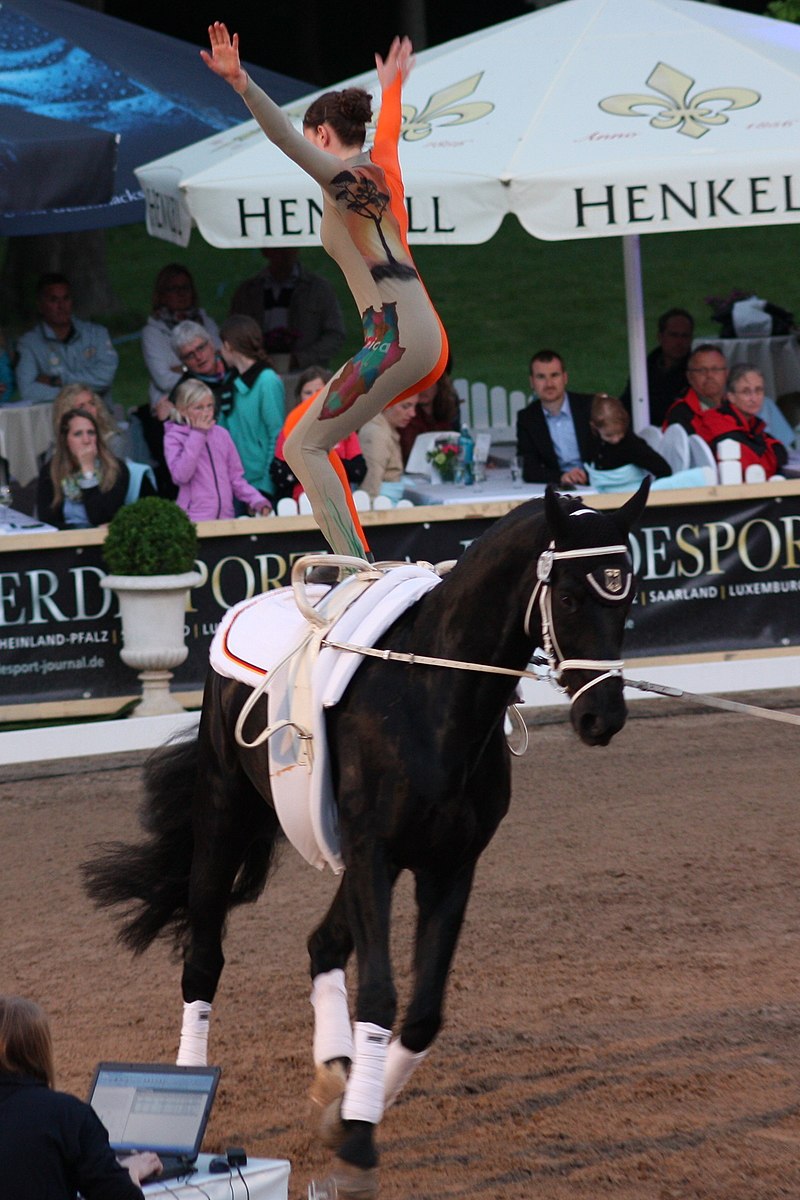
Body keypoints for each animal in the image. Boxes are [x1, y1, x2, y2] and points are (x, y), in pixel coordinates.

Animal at [84, 480, 647, 1200]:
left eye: (626, 596)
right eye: (572, 597)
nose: (604, 718)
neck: (434, 695)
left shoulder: (449, 864)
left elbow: (424, 1011)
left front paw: (351, 1115)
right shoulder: (376, 853)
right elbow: (379, 994)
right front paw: (355, 1145)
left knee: (322, 942)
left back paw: (335, 1072)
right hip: (226, 812)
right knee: (204, 960)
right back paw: (185, 1095)